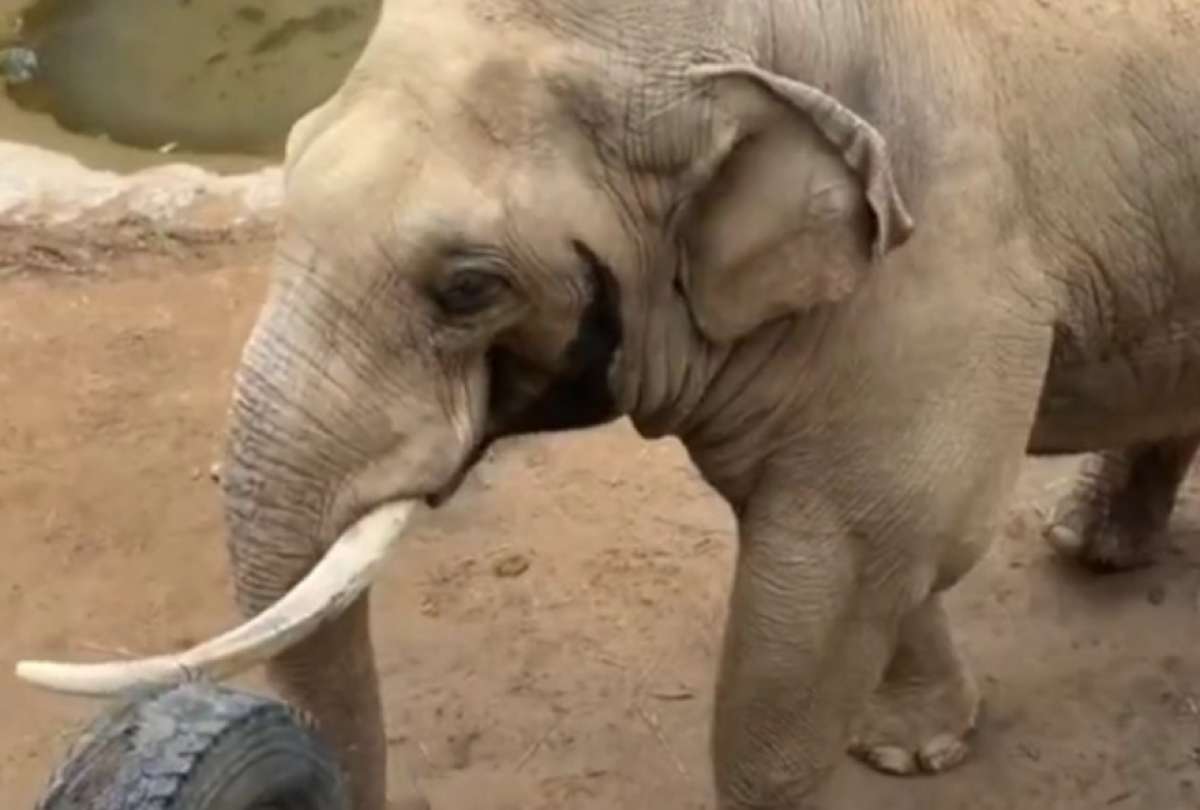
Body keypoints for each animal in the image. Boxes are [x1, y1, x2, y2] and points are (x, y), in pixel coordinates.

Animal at [17, 0, 1200, 808]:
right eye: (289, 160)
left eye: (468, 287)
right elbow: (885, 549)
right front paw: (912, 752)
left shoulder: (946, 250)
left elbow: (840, 564)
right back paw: (1090, 547)